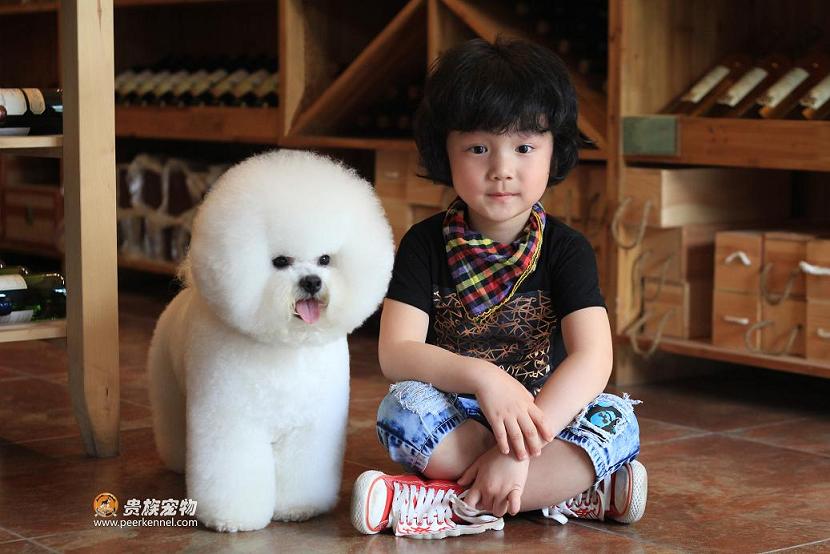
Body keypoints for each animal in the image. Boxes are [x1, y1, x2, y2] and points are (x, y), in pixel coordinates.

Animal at [147, 150, 394, 532]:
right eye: (280, 261)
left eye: (325, 259)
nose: (311, 281)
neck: (286, 345)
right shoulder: (232, 421)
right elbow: (234, 469)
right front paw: (233, 517)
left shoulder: (312, 425)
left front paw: (299, 507)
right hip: (168, 385)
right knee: (171, 422)